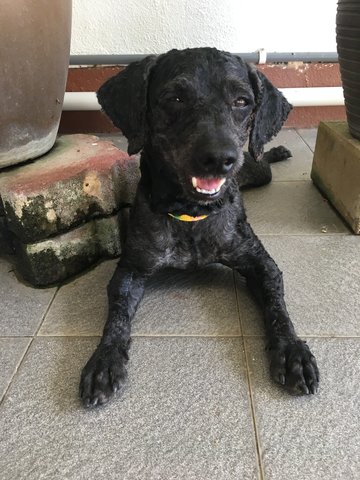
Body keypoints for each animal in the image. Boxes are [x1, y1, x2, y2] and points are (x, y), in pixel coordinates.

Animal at [79, 47, 318, 406]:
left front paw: (291, 351)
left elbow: (278, 307)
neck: (190, 215)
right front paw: (105, 358)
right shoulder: (131, 270)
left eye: (242, 101)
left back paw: (273, 150)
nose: (220, 158)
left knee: (262, 162)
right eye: (175, 97)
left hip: (256, 170)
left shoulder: (260, 262)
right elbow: (117, 316)